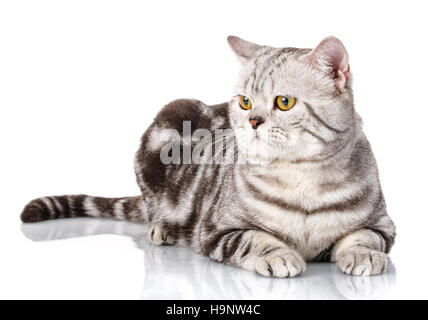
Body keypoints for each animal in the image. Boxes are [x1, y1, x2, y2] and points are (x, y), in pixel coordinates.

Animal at [20, 35, 394, 278]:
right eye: (244, 101)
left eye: (284, 102)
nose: (253, 120)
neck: (301, 179)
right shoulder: (218, 230)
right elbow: (255, 239)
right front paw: (279, 255)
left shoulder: (383, 225)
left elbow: (364, 237)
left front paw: (362, 255)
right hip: (165, 125)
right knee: (151, 207)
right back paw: (163, 229)